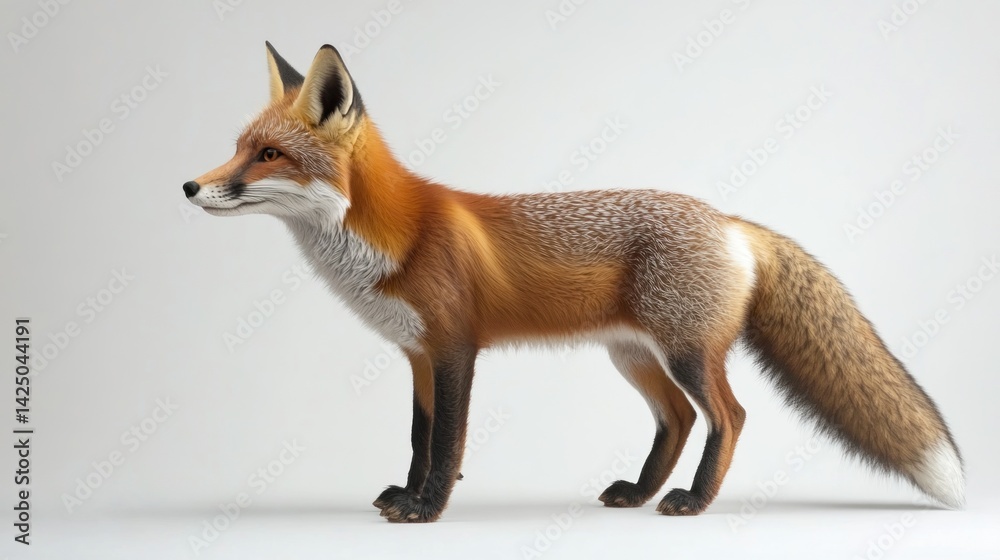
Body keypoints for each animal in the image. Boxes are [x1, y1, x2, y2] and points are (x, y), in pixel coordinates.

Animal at [183, 42, 964, 522]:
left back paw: (692, 501)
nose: (190, 186)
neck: (391, 238)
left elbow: (447, 443)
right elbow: (418, 439)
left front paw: (428, 509)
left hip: (684, 353)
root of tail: (729, 221)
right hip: (633, 357)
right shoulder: (417, 356)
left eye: (269, 154)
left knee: (729, 417)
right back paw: (641, 492)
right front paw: (409, 495)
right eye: (237, 147)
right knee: (679, 420)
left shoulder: (456, 349)